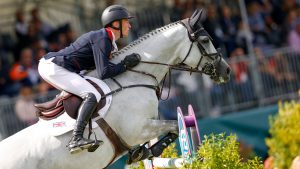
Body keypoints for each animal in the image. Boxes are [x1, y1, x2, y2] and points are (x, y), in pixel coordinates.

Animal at [0, 9, 231, 169]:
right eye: (205, 40)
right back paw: (78, 143)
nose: (227, 71)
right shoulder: (138, 128)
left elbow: (171, 130)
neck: (134, 77)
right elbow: (174, 125)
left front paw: (142, 153)